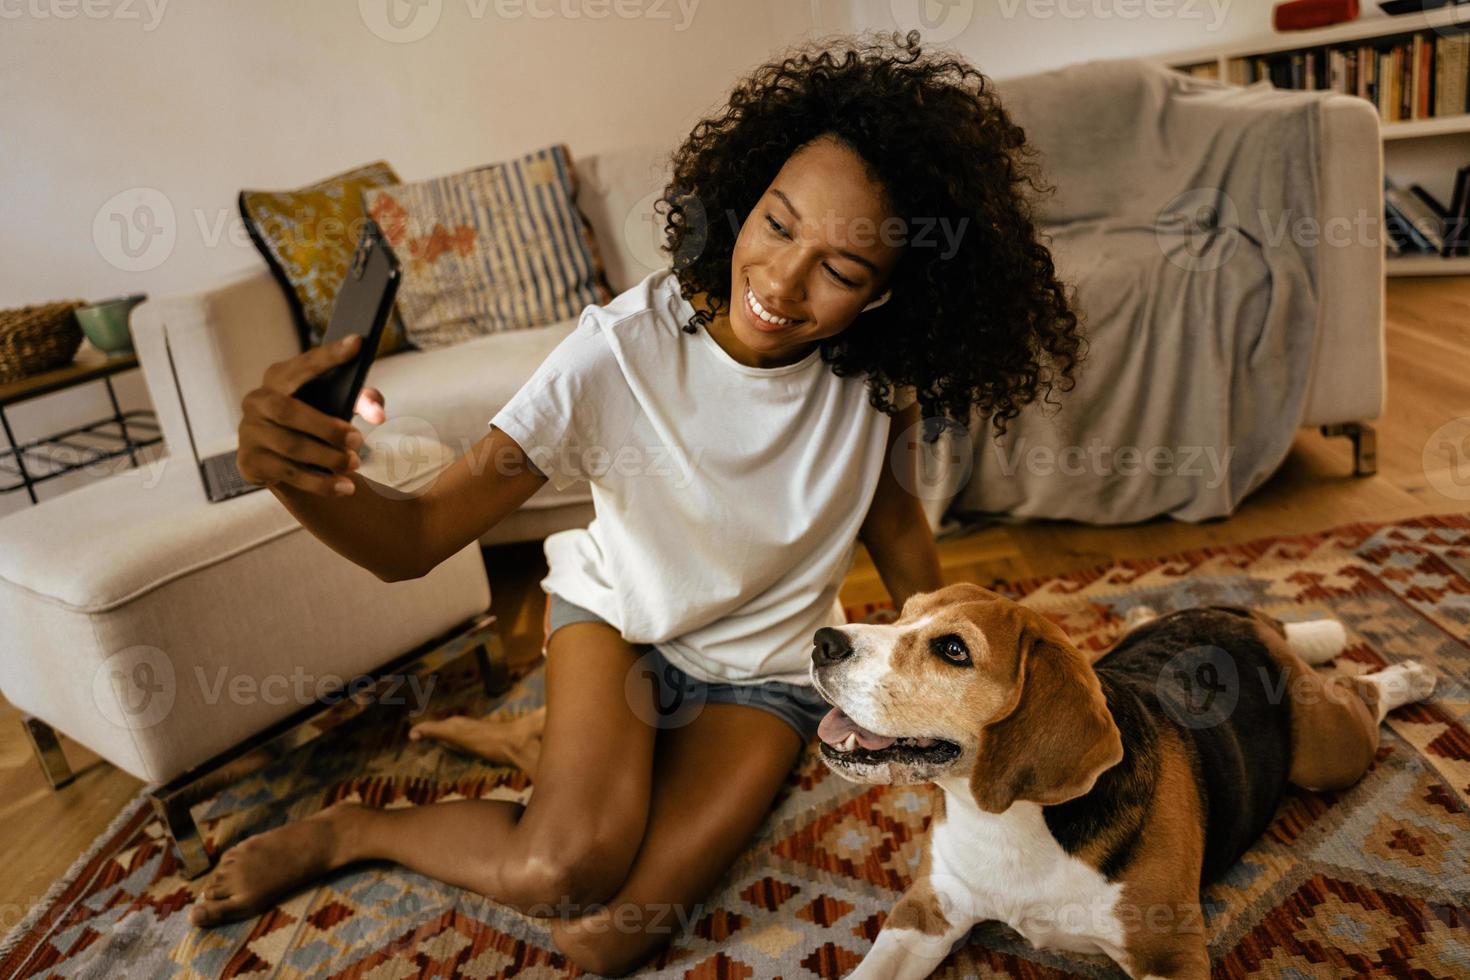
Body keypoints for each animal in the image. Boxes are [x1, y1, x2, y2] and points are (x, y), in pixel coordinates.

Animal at [805, 581, 1434, 980]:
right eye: (901, 612)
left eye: (953, 649)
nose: (822, 640)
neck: (1006, 822)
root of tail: (1234, 620)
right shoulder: (923, 912)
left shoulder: (1170, 956)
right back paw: (1138, 615)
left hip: (1329, 753)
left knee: (1360, 690)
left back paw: (1411, 674)